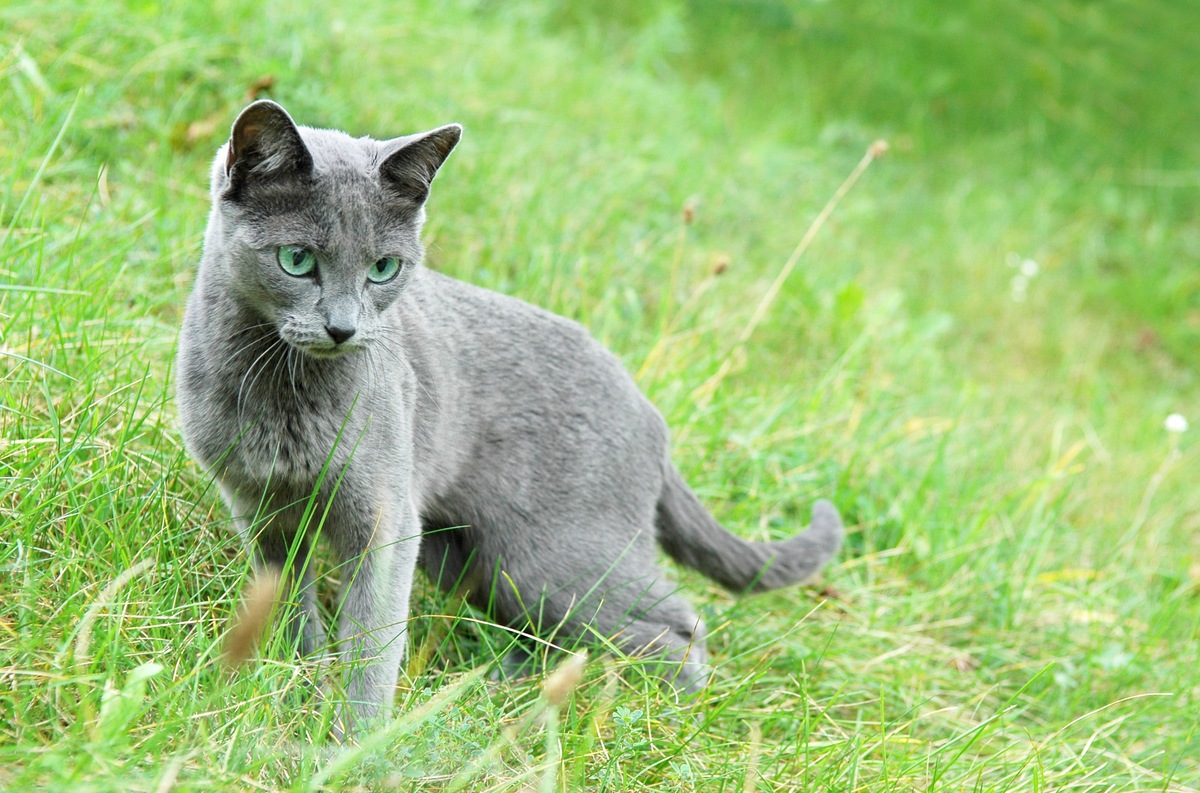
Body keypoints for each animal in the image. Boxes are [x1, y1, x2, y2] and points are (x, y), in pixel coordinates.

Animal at [175, 100, 844, 734]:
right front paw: (297, 682)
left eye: (383, 269)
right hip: (475, 562)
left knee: (679, 626)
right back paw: (507, 686)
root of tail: (649, 409)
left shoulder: (385, 517)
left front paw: (354, 738)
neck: (281, 391)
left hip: (550, 562)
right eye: (296, 259)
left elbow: (372, 641)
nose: (344, 328)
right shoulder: (258, 507)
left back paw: (656, 710)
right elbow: (291, 605)